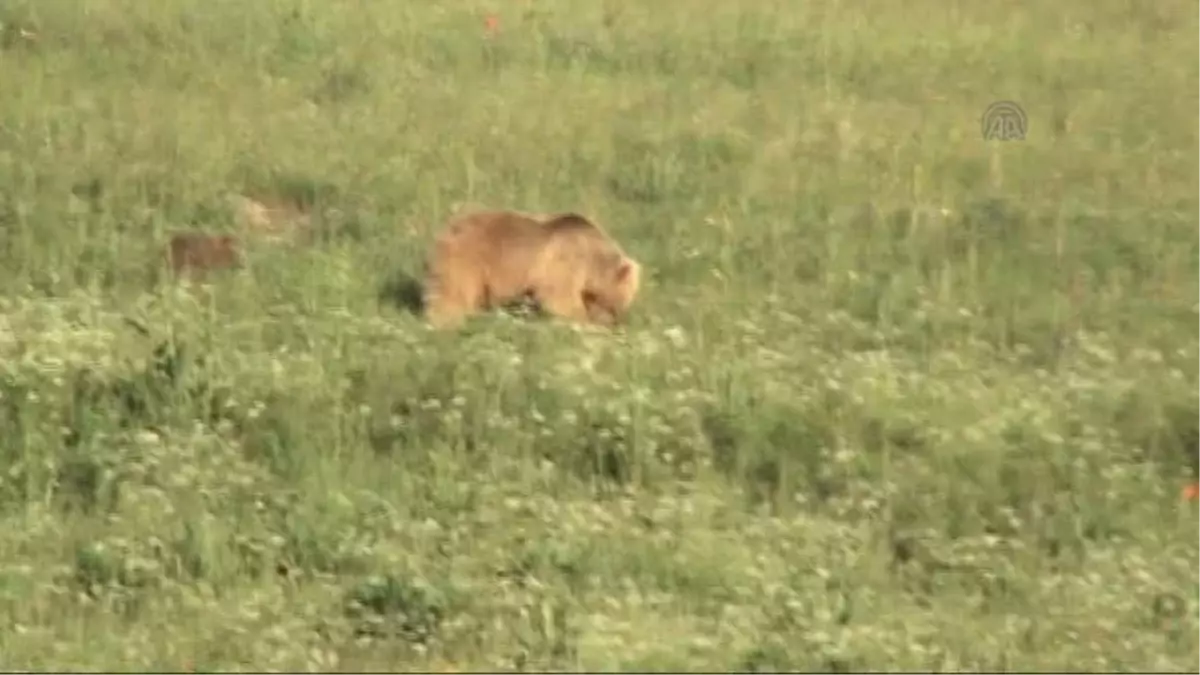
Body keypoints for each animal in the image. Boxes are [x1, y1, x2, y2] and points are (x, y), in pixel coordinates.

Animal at [424, 208, 643, 326]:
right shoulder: (565, 261)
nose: (617, 322)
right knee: (453, 291)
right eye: (623, 299)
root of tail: (451, 226)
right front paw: (580, 321)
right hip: (468, 259)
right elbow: (560, 298)